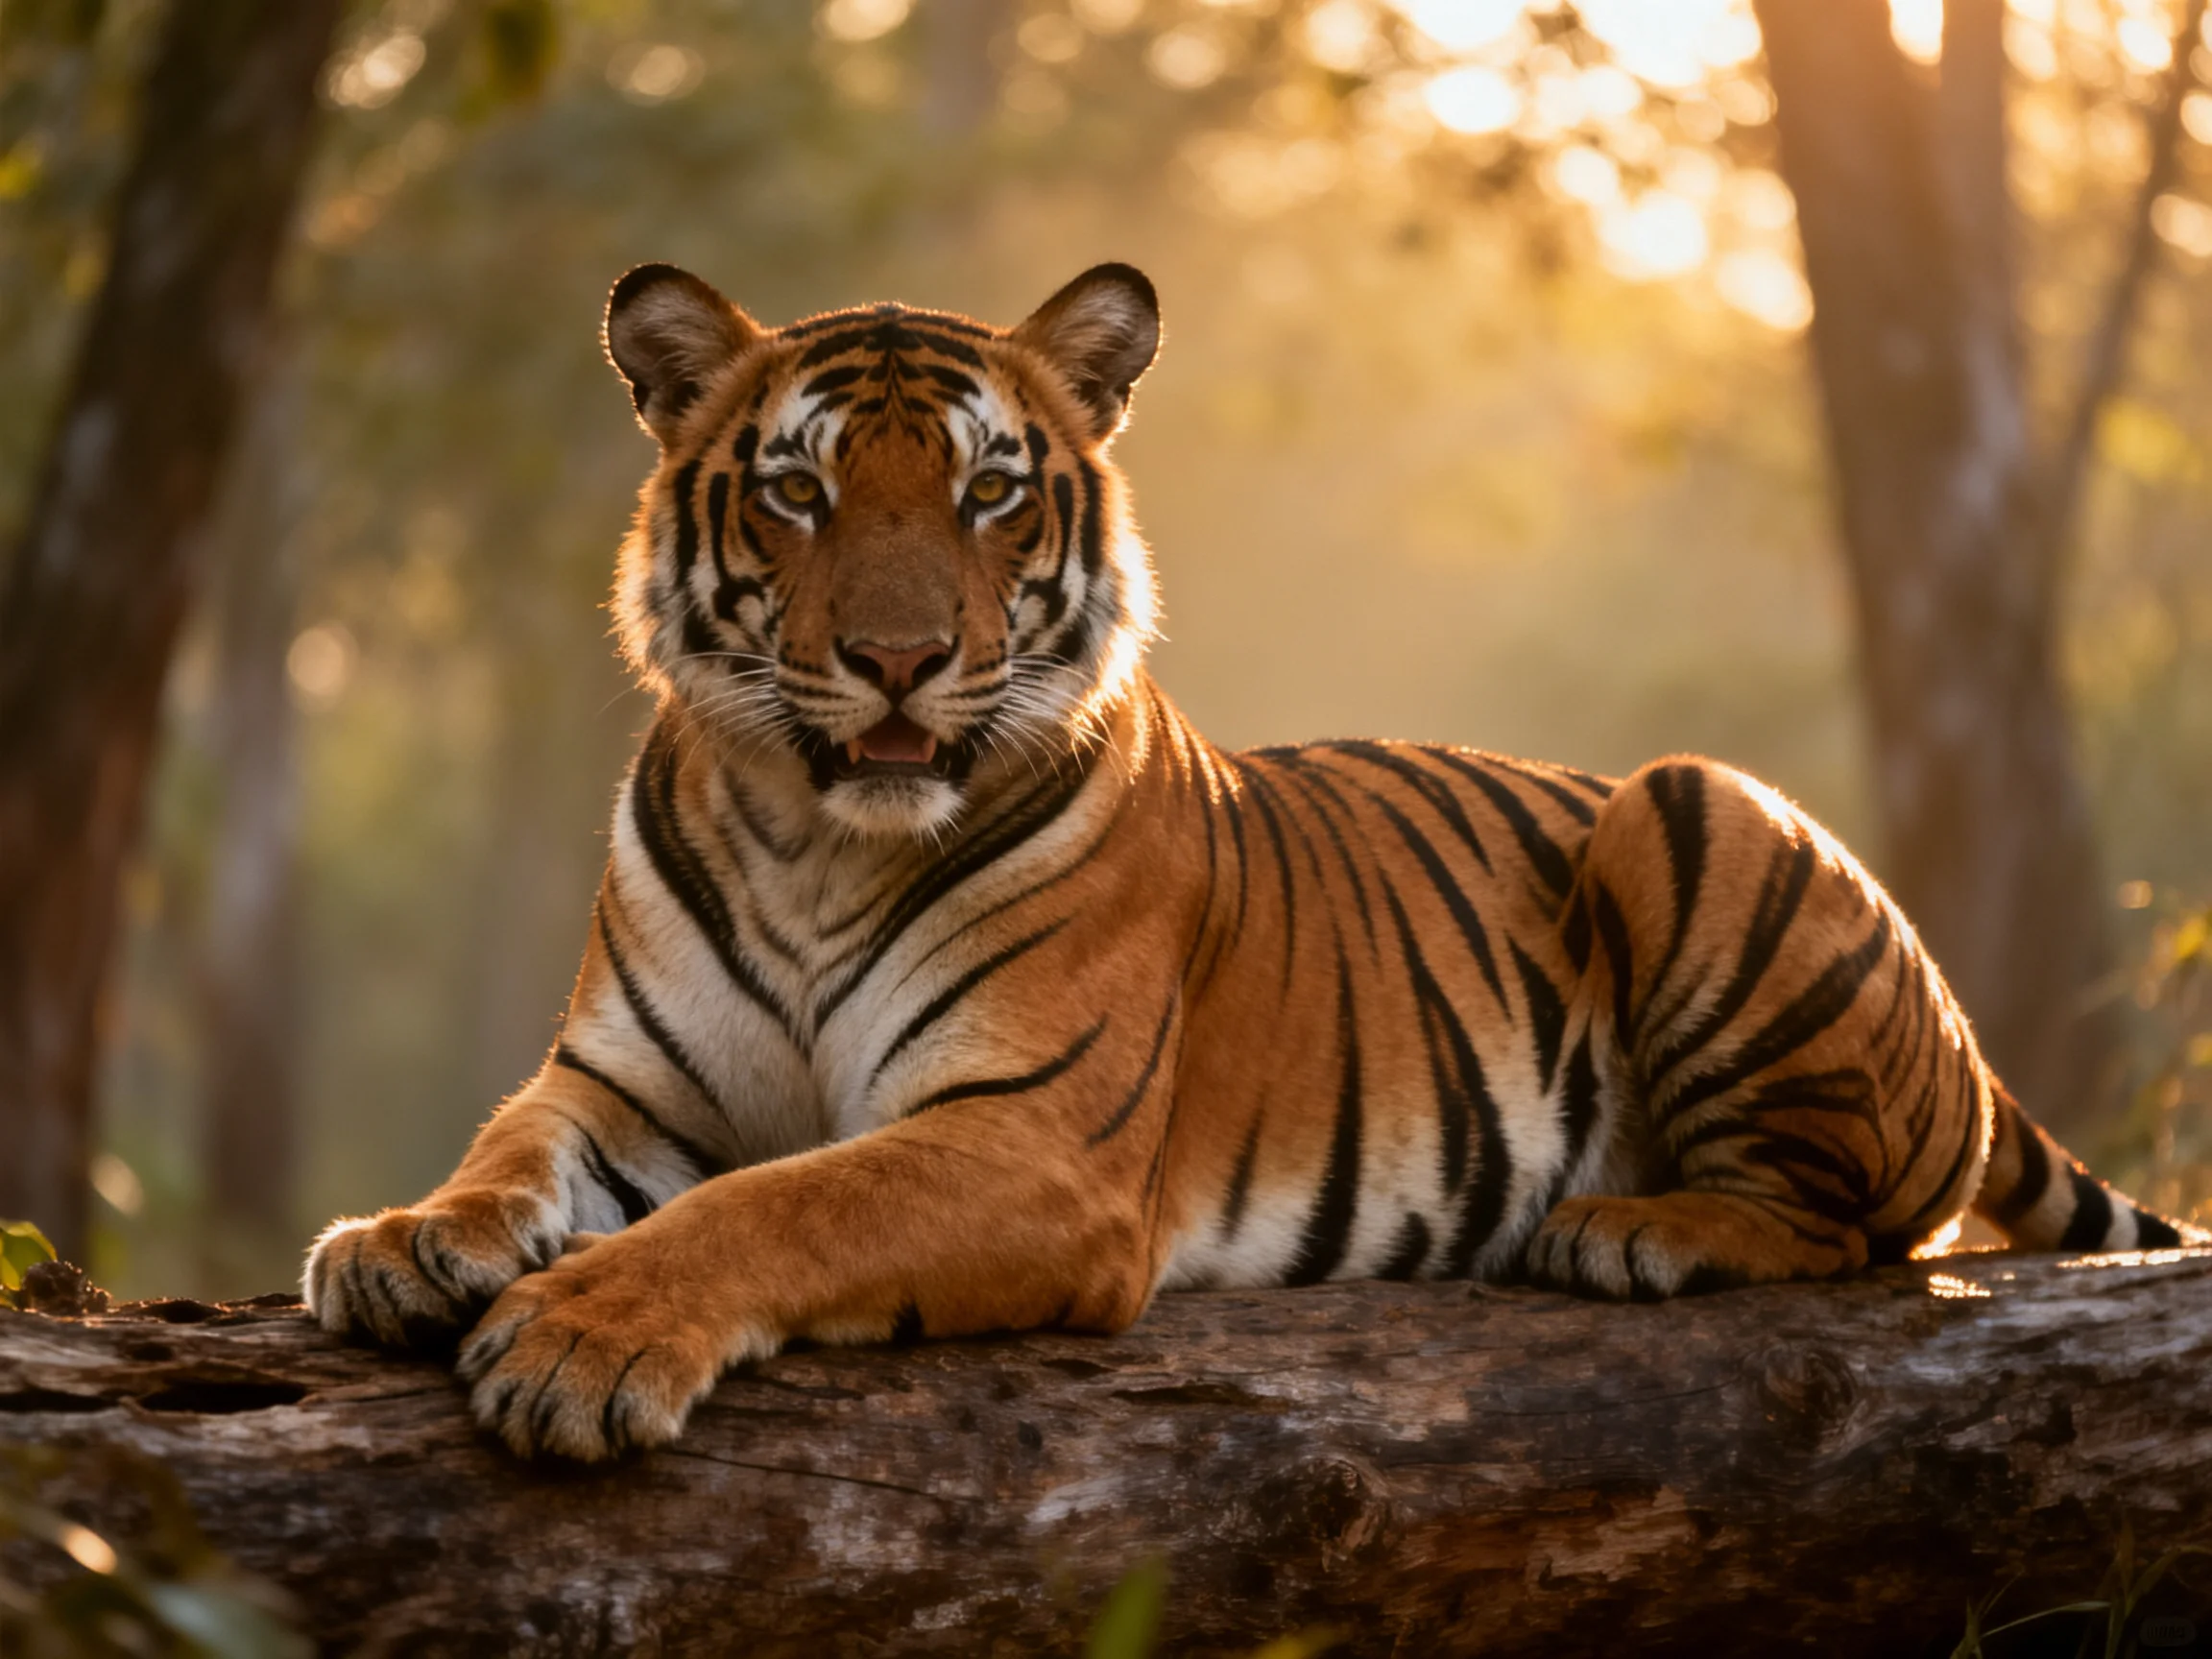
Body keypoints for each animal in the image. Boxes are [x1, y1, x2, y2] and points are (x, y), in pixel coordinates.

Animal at [305, 260, 2203, 1462]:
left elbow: (780, 1200)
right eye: (798, 491)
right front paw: (405, 1241)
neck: (815, 842)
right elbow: (512, 1148)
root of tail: (1961, 1036)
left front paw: (582, 1337)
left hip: (1694, 803)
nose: (901, 660)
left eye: (990, 492)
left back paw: (1631, 1230)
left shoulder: (1029, 1135)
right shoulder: (622, 1085)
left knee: (1859, 1225)